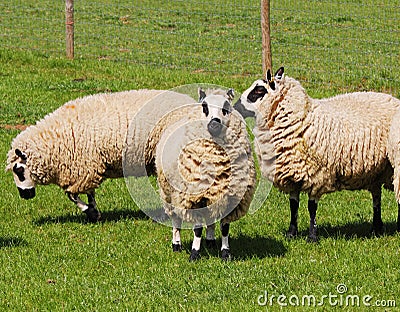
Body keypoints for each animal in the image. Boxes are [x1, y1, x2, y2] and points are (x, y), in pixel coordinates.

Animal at [5, 90, 194, 222]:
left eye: (19, 170)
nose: (24, 195)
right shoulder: (87, 169)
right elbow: (89, 194)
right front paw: (94, 212)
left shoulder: (83, 169)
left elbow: (71, 195)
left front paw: (90, 212)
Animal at [153, 88, 256, 260]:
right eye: (204, 106)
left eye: (226, 107)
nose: (214, 124)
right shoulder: (194, 198)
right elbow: (197, 229)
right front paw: (194, 254)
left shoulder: (231, 197)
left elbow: (225, 227)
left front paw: (225, 253)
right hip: (169, 193)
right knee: (176, 219)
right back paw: (176, 244)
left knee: (210, 219)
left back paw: (210, 241)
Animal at [234, 66, 400, 241]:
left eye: (259, 90)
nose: (234, 107)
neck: (301, 119)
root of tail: (393, 99)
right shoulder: (292, 175)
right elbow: (293, 205)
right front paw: (291, 233)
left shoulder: (316, 174)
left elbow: (311, 207)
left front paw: (312, 236)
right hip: (376, 172)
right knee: (376, 198)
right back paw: (376, 229)